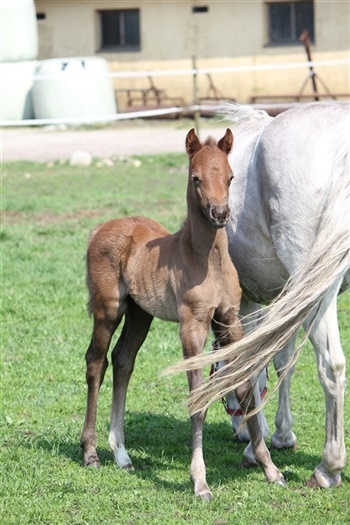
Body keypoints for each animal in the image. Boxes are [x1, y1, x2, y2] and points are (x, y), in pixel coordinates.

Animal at [80, 127, 284, 500]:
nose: (220, 213)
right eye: (196, 178)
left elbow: (245, 390)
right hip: (108, 309)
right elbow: (198, 401)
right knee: (96, 363)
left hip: (140, 314)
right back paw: (90, 452)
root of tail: (101, 228)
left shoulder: (229, 320)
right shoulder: (193, 327)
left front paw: (269, 468)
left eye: (231, 177)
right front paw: (200, 482)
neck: (206, 260)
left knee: (122, 361)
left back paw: (121, 454)